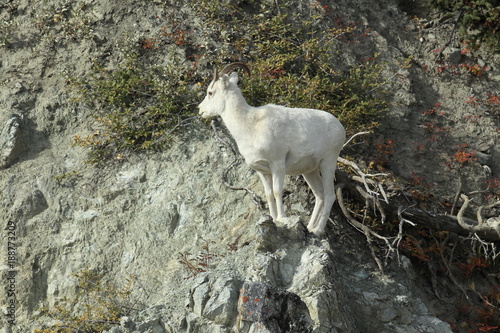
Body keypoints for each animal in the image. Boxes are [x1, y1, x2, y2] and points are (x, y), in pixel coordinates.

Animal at [197, 61, 346, 233]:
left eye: (210, 92)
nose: (200, 110)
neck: (250, 126)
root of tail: (340, 127)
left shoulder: (278, 165)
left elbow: (277, 191)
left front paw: (282, 218)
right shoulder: (262, 171)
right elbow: (268, 194)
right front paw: (273, 219)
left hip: (328, 162)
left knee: (329, 195)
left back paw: (318, 230)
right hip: (309, 171)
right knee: (320, 195)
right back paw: (309, 227)